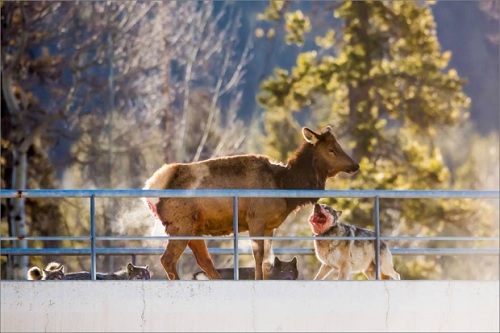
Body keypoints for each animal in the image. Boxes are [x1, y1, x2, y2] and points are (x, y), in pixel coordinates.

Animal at [143, 126, 358, 278]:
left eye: (338, 146)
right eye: (331, 149)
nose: (355, 165)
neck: (284, 186)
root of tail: (151, 189)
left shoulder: (270, 225)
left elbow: (267, 259)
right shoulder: (256, 218)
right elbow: (258, 255)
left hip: (194, 228)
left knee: (205, 261)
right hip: (181, 224)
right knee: (168, 259)